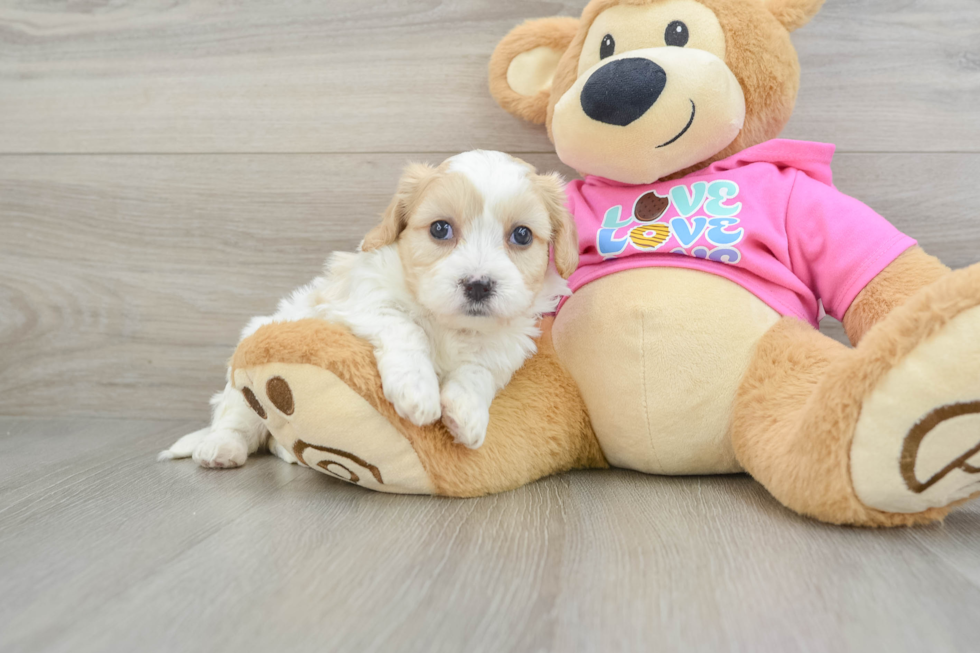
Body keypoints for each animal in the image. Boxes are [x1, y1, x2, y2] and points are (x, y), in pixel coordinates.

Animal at [159, 150, 576, 466]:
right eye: (440, 229)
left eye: (521, 235)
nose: (478, 284)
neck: (449, 325)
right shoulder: (361, 301)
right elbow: (406, 328)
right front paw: (417, 390)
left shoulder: (506, 345)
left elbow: (479, 372)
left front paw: (468, 414)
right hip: (245, 376)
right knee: (237, 418)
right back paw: (219, 447)